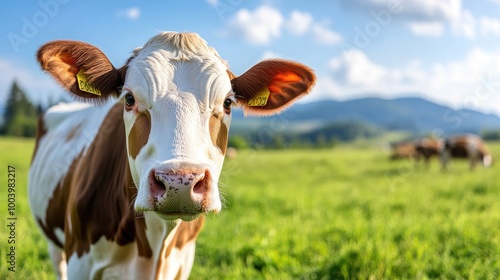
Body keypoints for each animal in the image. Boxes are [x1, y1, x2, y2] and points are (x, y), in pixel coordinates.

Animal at [29, 31, 314, 280]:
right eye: (129, 99)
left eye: (227, 103)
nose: (180, 183)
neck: (153, 247)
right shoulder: (81, 259)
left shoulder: (182, 262)